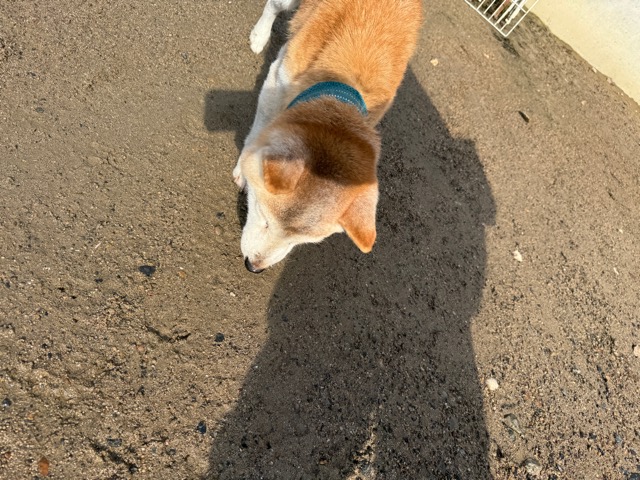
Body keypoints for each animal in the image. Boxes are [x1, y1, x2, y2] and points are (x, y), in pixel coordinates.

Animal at [233, 0, 422, 273]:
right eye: (264, 217)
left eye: (300, 241)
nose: (253, 267)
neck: (344, 85)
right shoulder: (278, 78)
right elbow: (259, 131)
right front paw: (243, 168)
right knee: (274, 5)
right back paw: (260, 36)